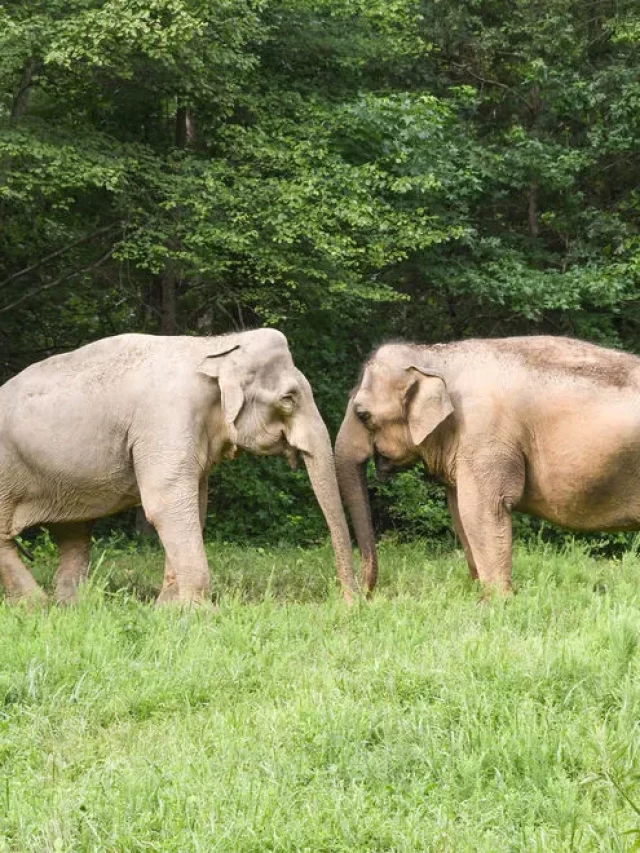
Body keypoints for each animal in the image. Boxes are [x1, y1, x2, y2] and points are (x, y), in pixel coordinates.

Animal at [0, 328, 358, 604]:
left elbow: (193, 505)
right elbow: (166, 504)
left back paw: (70, 607)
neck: (214, 347)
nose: (350, 603)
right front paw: (199, 613)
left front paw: (169, 609)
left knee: (73, 532)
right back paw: (37, 607)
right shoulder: (166, 419)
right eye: (288, 398)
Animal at [335, 335, 640, 595]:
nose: (365, 596)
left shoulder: (484, 433)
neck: (434, 354)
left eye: (363, 415)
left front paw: (498, 604)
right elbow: (459, 510)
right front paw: (481, 597)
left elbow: (481, 508)